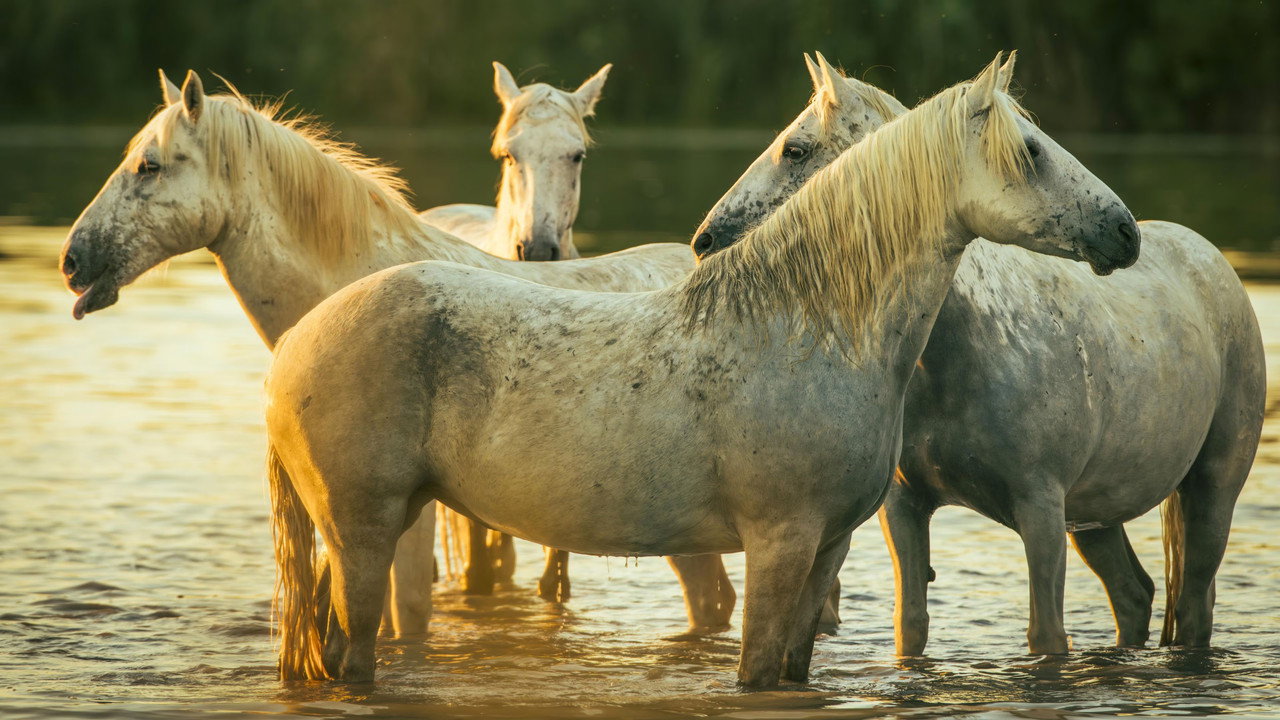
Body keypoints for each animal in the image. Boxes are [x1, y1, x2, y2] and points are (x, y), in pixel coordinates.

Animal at [264, 55, 1140, 686]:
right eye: (1033, 152)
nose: (1124, 232)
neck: (812, 325)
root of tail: (297, 345)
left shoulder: (825, 548)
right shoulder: (778, 545)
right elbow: (755, 674)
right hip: (364, 535)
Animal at [692, 52, 1264, 655]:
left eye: (794, 150)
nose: (703, 243)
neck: (960, 354)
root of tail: (1207, 255)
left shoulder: (1041, 509)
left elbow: (1046, 634)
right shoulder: (906, 510)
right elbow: (911, 626)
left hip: (1211, 489)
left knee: (1194, 602)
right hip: (1095, 518)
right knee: (1135, 594)